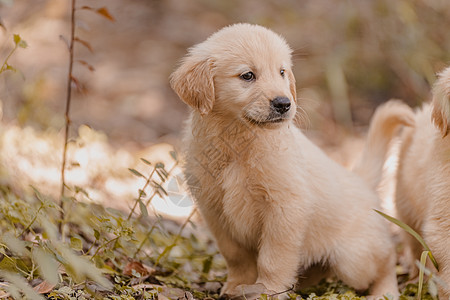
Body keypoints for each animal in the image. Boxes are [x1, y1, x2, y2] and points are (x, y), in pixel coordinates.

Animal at [171, 22, 400, 298]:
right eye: (247, 76)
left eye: (281, 72)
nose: (284, 103)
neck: (237, 142)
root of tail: (362, 182)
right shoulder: (214, 212)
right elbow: (236, 255)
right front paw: (237, 286)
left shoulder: (285, 207)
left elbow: (273, 257)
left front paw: (267, 290)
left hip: (353, 260)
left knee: (387, 261)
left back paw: (385, 291)